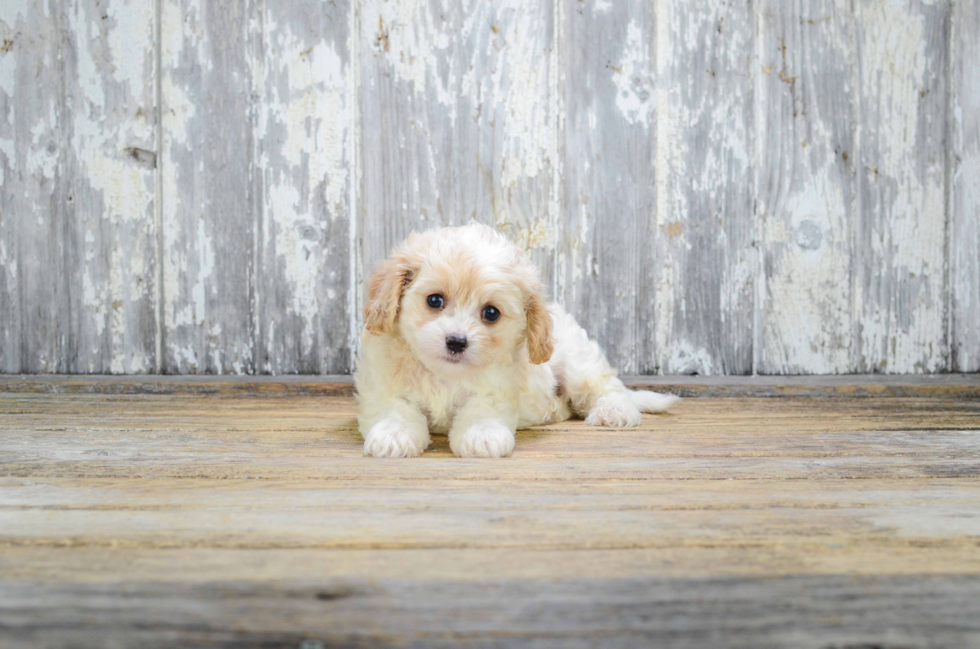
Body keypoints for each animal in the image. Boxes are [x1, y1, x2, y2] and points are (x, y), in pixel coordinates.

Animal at [354, 225, 680, 458]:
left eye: (491, 313)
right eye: (434, 300)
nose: (457, 341)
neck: (445, 374)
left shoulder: (497, 388)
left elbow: (481, 408)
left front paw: (481, 435)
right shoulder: (383, 386)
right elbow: (396, 408)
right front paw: (393, 435)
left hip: (578, 365)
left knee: (609, 388)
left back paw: (615, 412)